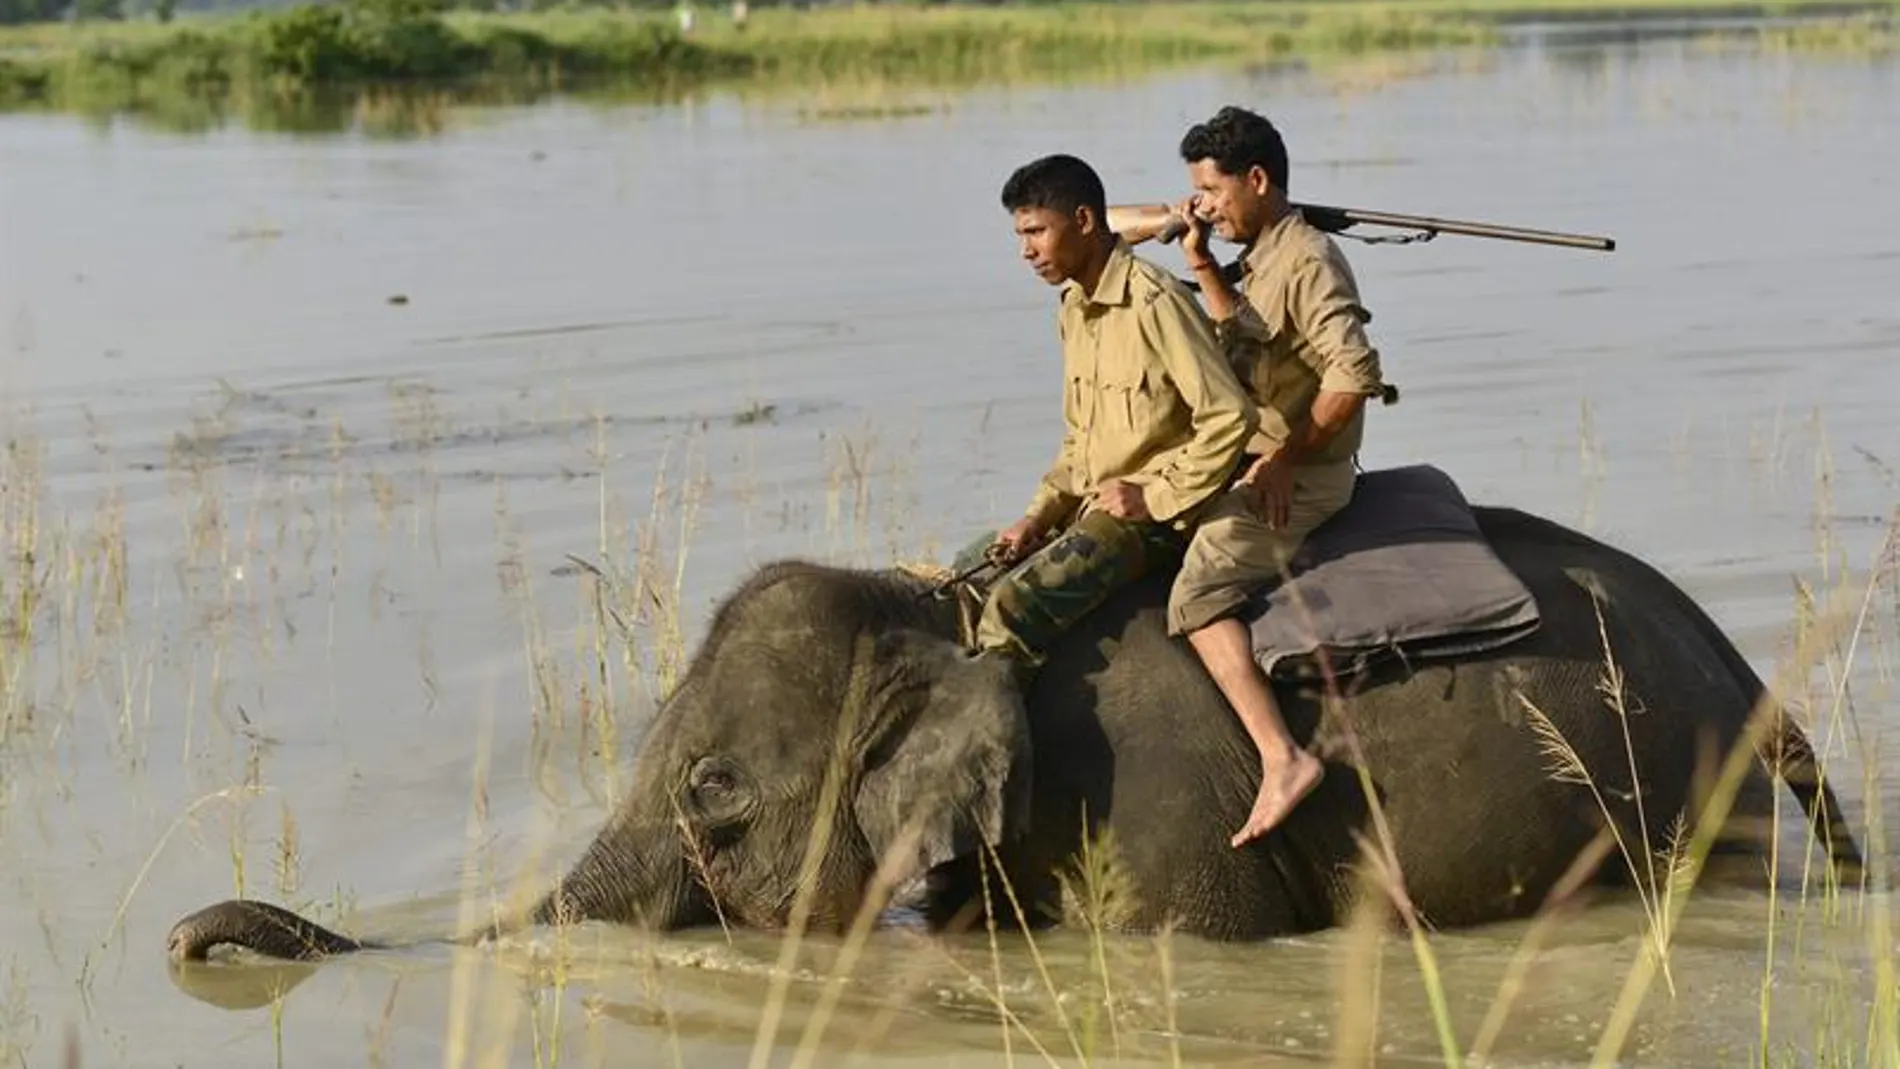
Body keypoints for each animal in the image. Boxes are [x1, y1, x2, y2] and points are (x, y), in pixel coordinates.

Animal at [166, 502, 1861, 964]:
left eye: (716, 800)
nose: (187, 937)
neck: (956, 621)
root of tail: (1761, 689)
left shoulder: (1169, 806)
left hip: (1683, 792)